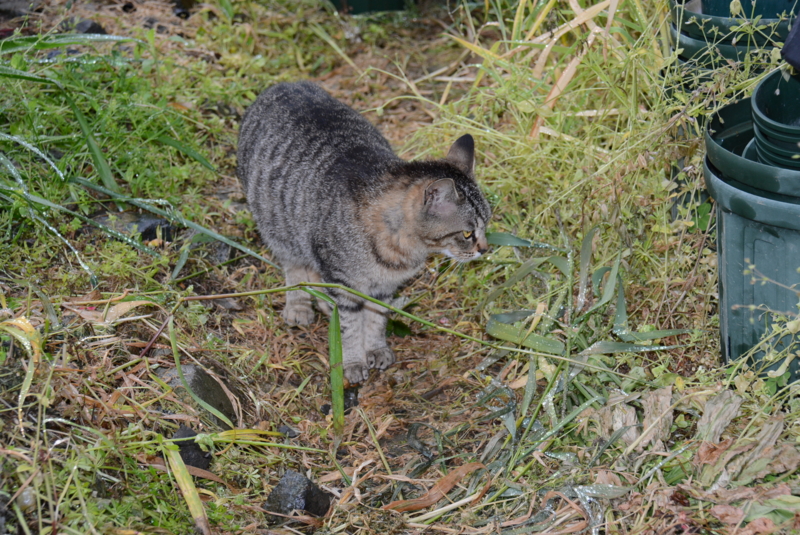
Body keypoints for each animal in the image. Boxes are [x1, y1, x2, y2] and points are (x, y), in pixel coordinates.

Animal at [234, 81, 490, 386]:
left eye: (487, 224)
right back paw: (300, 304)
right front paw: (353, 361)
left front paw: (376, 348)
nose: (485, 249)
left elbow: (376, 319)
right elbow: (351, 327)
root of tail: (284, 84)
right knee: (294, 266)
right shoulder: (344, 284)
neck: (402, 250)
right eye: (467, 233)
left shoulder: (383, 288)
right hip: (279, 227)